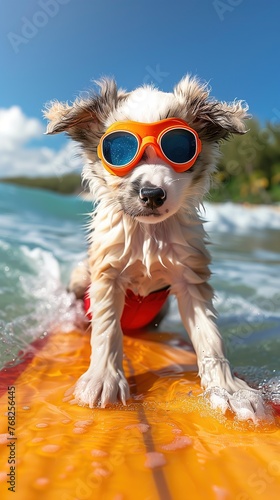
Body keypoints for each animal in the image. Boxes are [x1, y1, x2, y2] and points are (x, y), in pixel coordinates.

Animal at [44, 75, 266, 422]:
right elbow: (106, 328)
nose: (151, 194)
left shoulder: (191, 278)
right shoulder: (106, 272)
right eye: (119, 151)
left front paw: (230, 391)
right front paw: (104, 379)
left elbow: (210, 337)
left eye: (179, 148)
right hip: (82, 274)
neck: (149, 234)